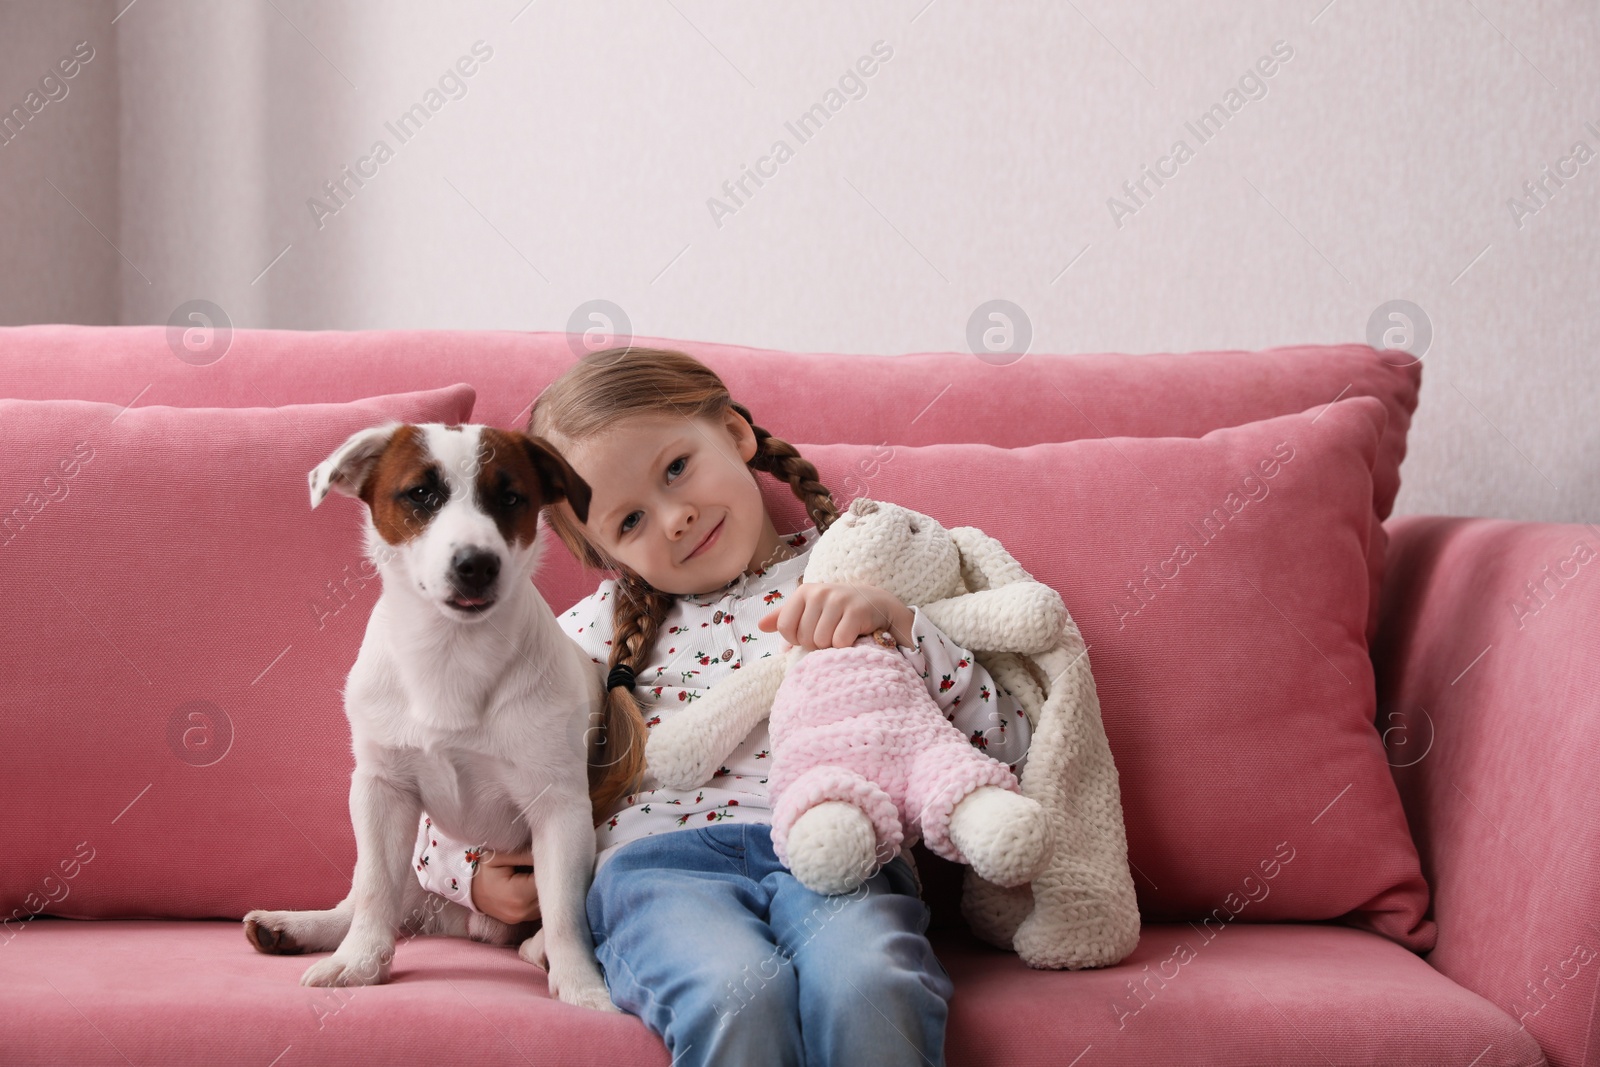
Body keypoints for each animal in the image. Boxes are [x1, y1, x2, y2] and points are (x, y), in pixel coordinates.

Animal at [243, 422, 617, 1017]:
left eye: (510, 498)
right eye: (421, 494)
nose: (476, 564)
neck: (451, 654)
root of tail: (469, 924)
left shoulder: (559, 807)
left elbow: (566, 912)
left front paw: (580, 985)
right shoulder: (381, 791)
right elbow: (374, 890)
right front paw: (359, 963)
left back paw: (536, 948)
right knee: (370, 898)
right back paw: (298, 928)